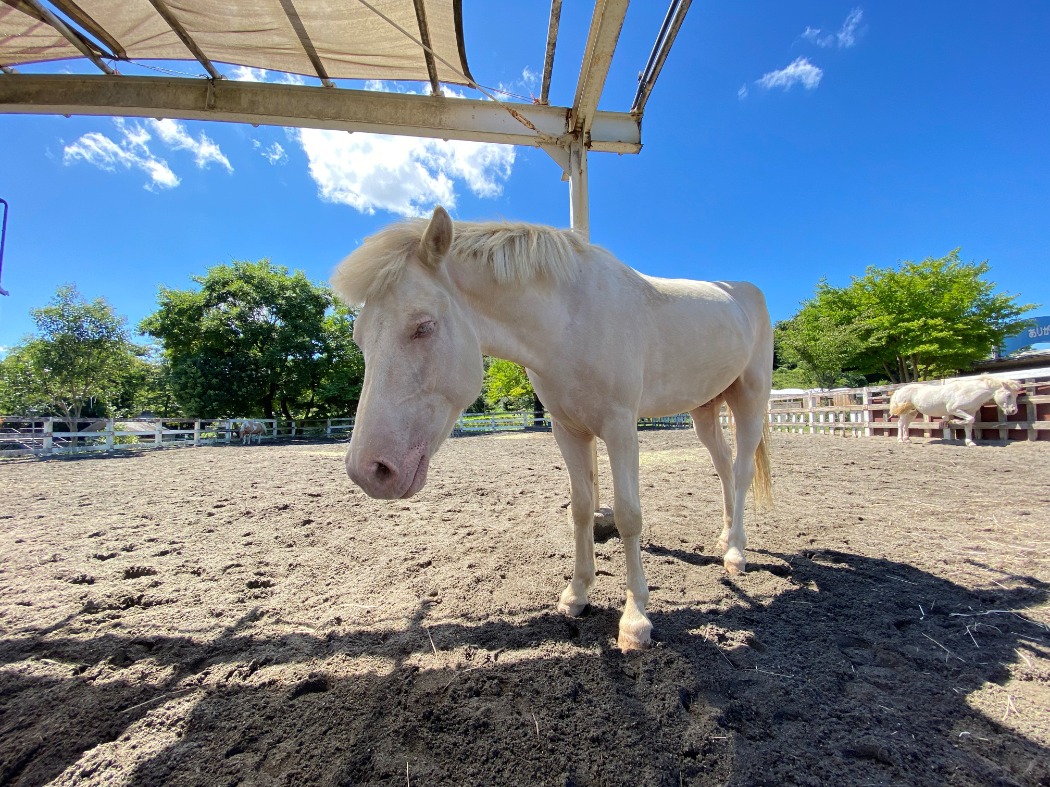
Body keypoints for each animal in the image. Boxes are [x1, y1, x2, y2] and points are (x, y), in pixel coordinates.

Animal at [331, 204, 776, 654]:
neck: (571, 318)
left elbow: (629, 515)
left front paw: (635, 620)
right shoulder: (568, 429)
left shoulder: (620, 427)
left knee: (740, 472)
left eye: (423, 326)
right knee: (723, 466)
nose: (368, 471)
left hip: (749, 401)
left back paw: (736, 554)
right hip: (705, 409)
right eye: (359, 339)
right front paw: (577, 594)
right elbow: (580, 509)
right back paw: (724, 539)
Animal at [890, 373, 1020, 447]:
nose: (1013, 411)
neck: (969, 391)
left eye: (1015, 395)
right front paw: (954, 422)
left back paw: (907, 440)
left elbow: (969, 424)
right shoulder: (954, 409)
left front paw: (970, 442)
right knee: (900, 424)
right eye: (1009, 395)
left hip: (912, 412)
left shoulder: (970, 411)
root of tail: (899, 390)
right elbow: (969, 420)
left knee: (906, 424)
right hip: (904, 412)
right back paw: (900, 440)